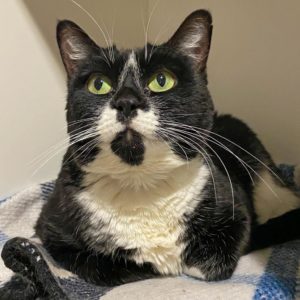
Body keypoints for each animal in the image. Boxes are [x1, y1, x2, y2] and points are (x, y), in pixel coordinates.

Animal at [35, 9, 300, 286]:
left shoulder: (233, 202)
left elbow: (225, 248)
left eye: (161, 80)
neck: (141, 184)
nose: (126, 102)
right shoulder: (52, 229)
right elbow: (115, 267)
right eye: (99, 84)